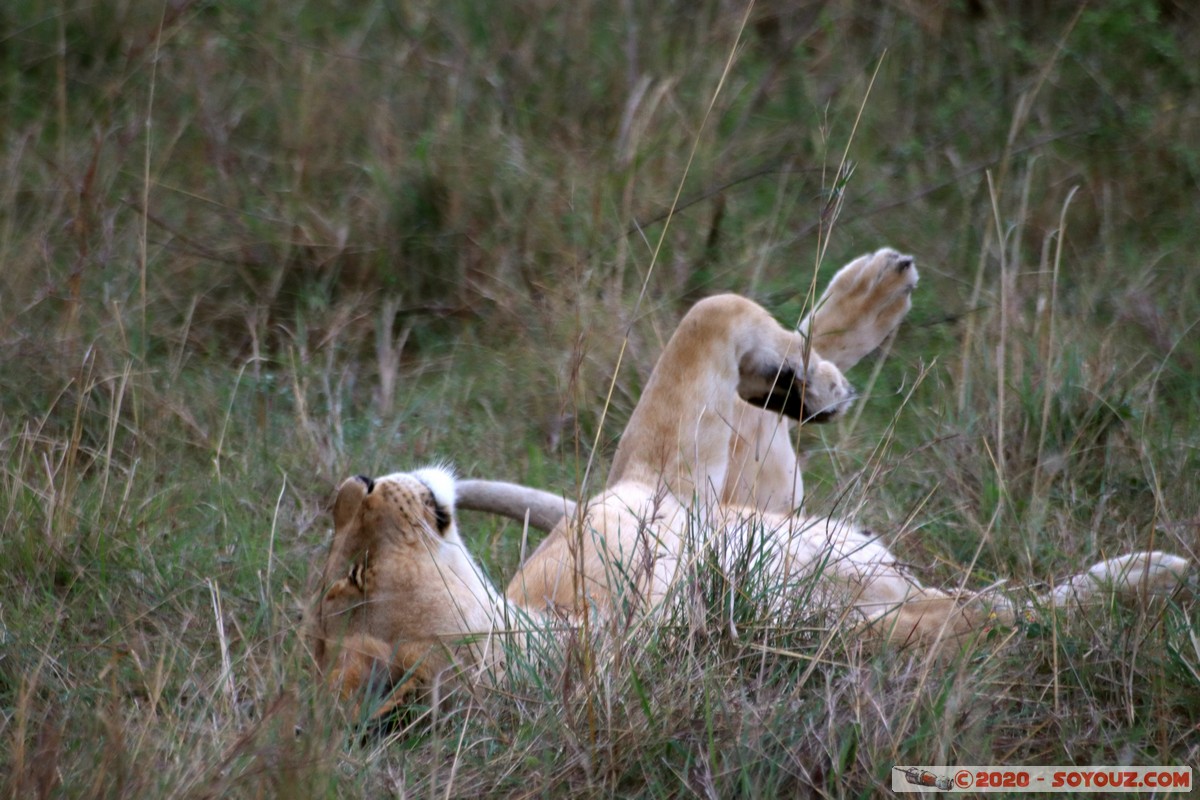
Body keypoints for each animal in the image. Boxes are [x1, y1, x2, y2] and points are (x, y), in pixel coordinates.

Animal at [309, 250, 1190, 714]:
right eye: (351, 576)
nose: (357, 479)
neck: (561, 627)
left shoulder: (658, 486)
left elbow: (711, 308)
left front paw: (808, 378)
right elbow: (1001, 619)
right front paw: (1141, 585)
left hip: (735, 490)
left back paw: (862, 306)